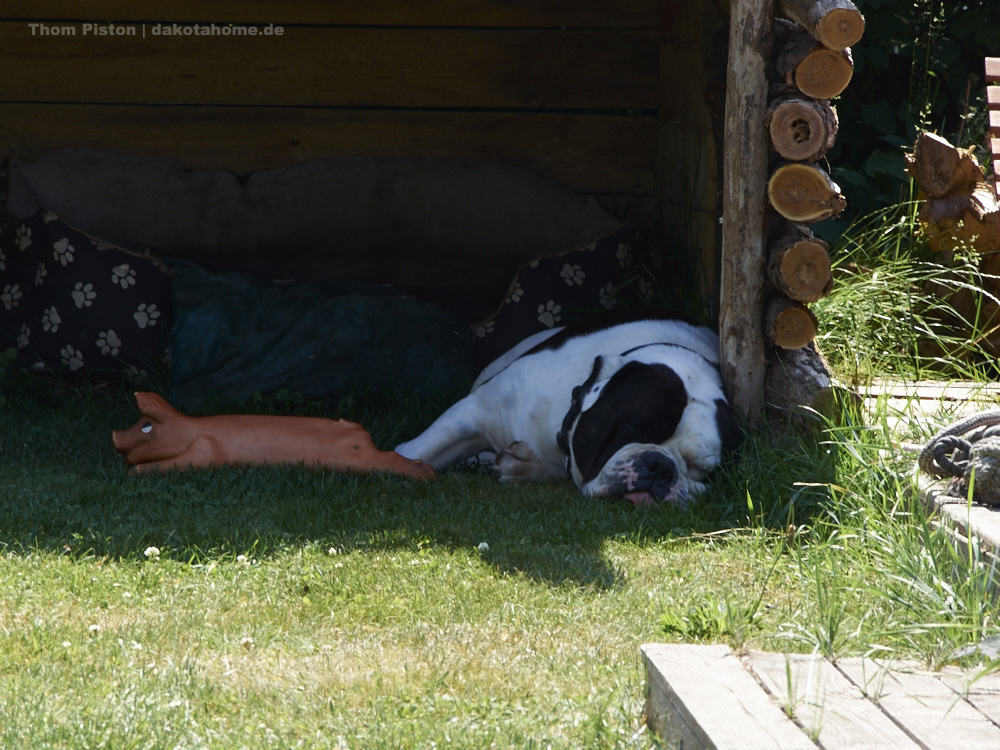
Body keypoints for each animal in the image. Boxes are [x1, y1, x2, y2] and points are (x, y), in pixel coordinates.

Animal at [394, 314, 740, 508]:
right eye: (637, 425)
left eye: (700, 468)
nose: (660, 466)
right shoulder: (476, 411)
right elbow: (419, 450)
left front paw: (525, 466)